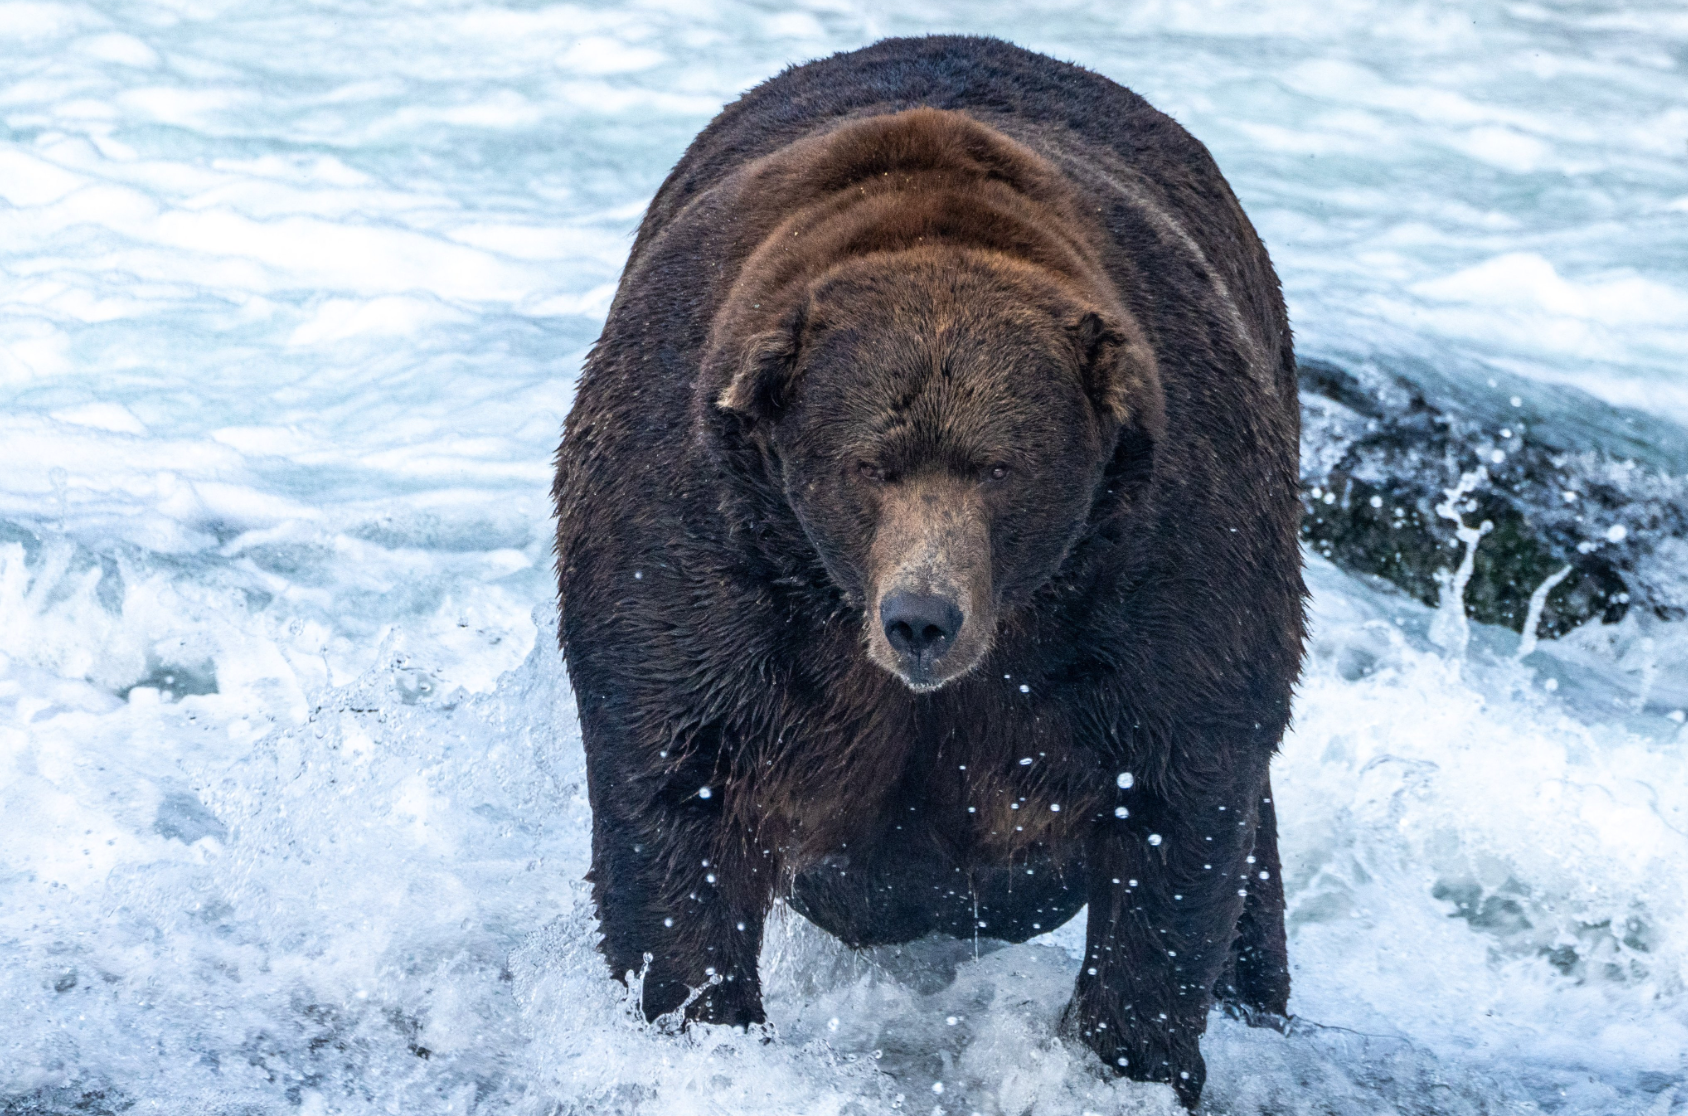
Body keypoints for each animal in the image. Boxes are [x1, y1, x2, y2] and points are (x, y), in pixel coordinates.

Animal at [553, 32, 1303, 1107]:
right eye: (869, 464)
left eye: (1000, 466)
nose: (921, 617)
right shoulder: (704, 543)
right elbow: (679, 786)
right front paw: (700, 1017)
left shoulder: (1163, 555)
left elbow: (1178, 805)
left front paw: (1132, 1054)